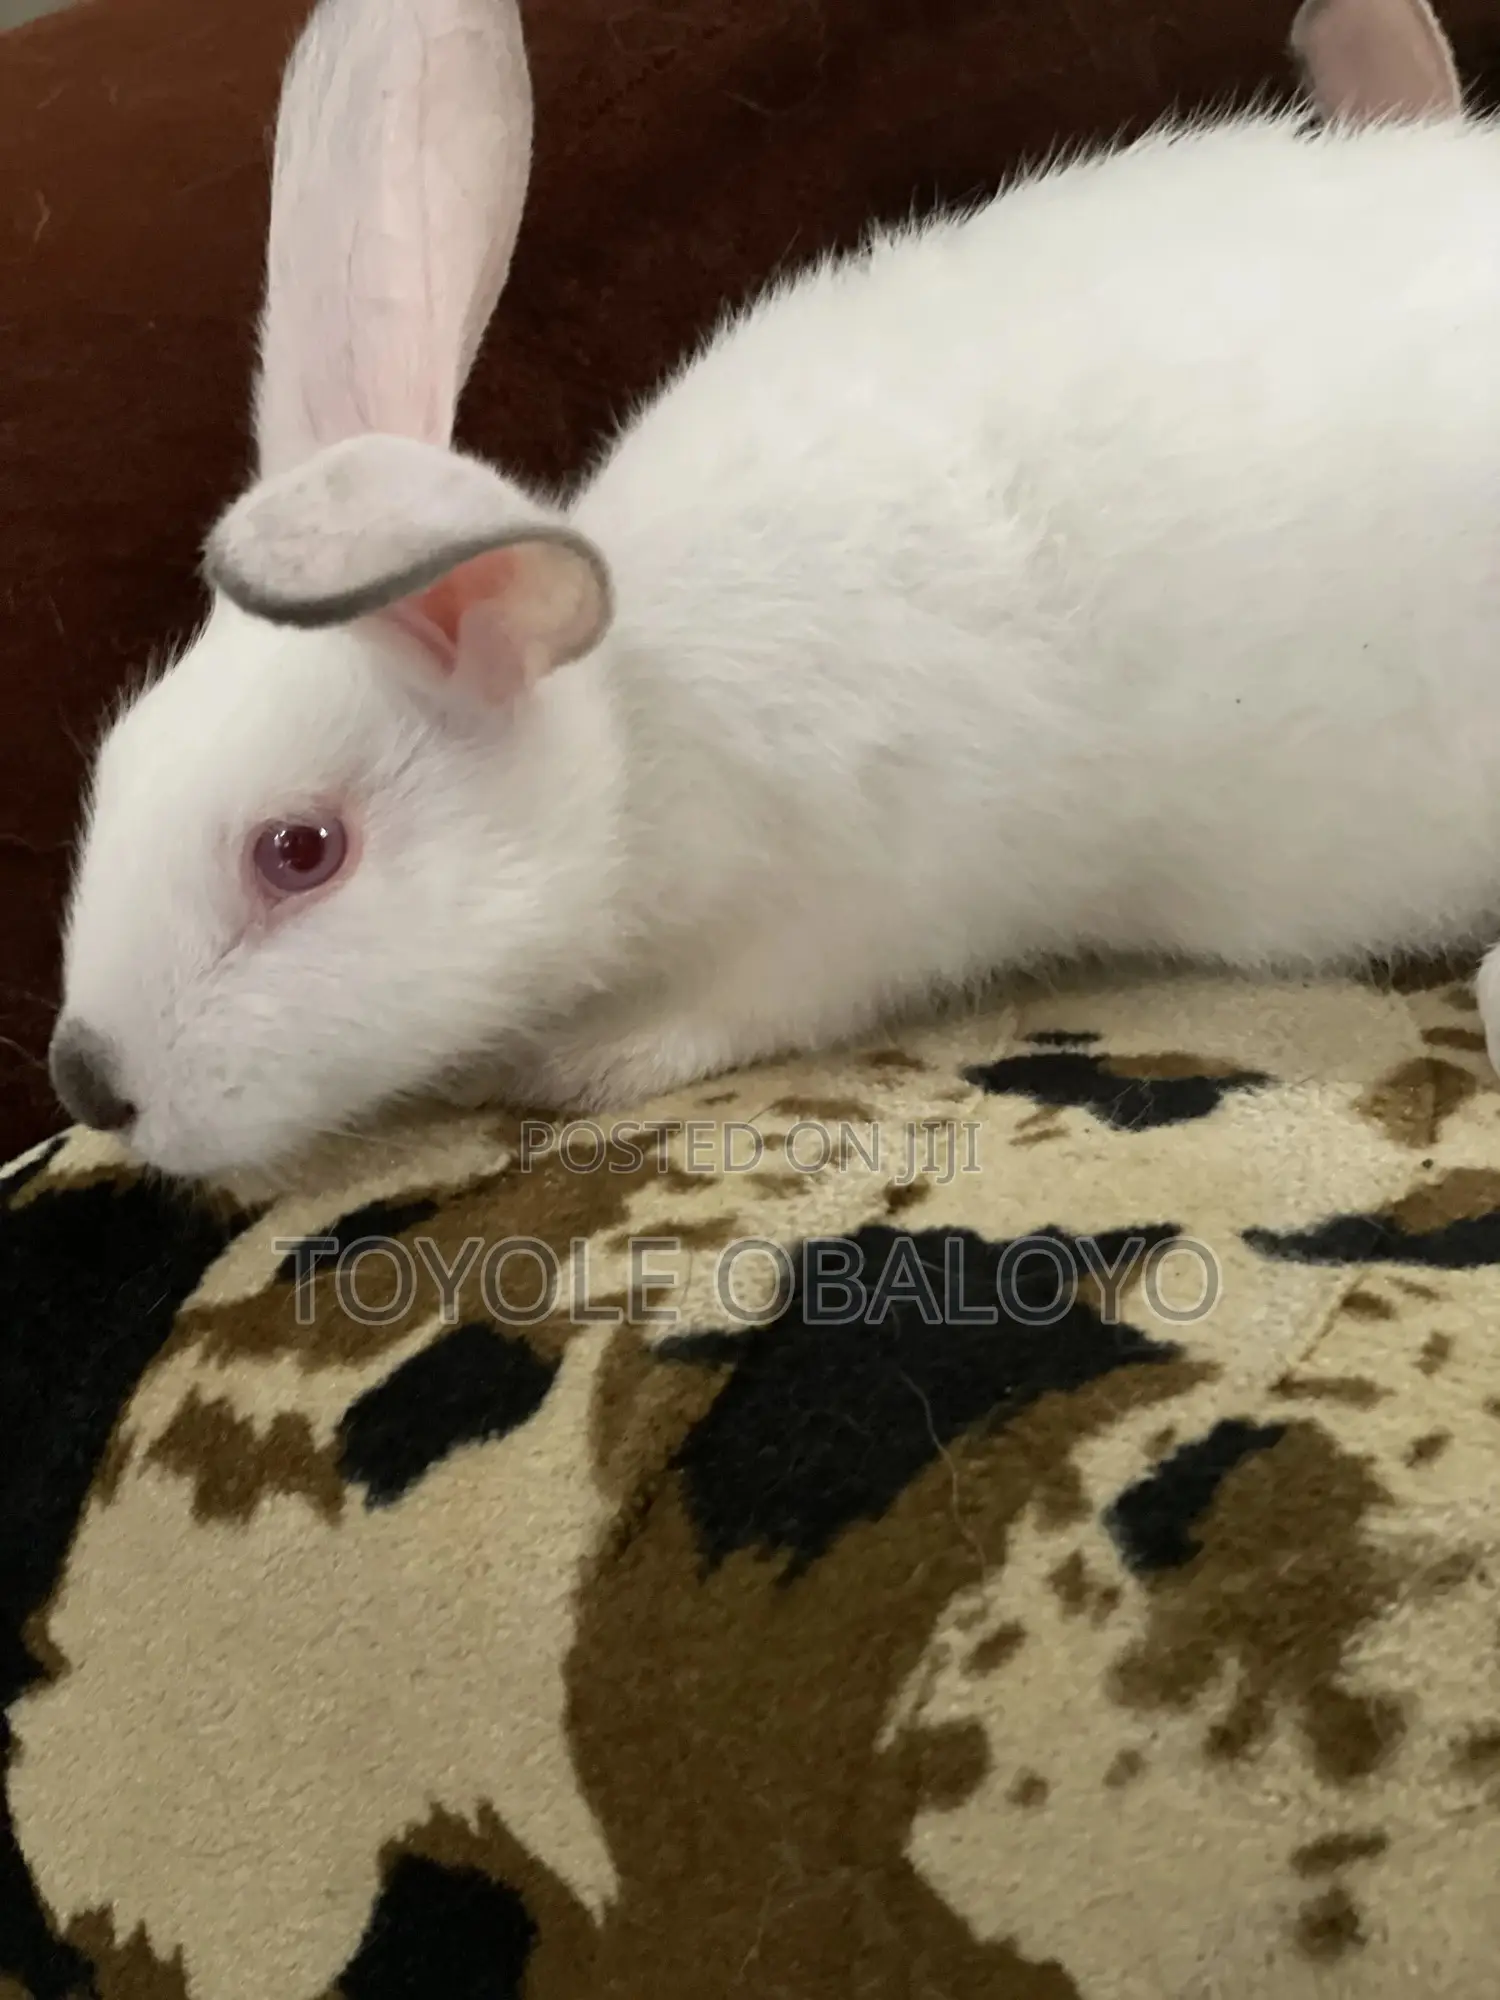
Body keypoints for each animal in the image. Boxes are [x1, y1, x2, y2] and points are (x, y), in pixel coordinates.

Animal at [46, 0, 1500, 1183]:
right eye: (115, 764)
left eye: (299, 851)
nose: (90, 1082)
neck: (637, 733)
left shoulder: (846, 909)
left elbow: (747, 1008)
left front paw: (589, 1063)